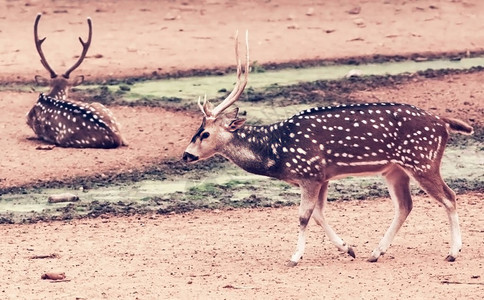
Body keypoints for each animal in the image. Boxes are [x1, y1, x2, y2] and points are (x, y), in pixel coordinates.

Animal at [182, 31, 472, 264]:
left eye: (204, 133)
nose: (186, 155)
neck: (277, 152)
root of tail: (443, 123)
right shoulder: (322, 177)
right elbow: (319, 214)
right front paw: (349, 249)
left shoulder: (309, 173)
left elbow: (303, 216)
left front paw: (295, 257)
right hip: (394, 169)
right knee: (405, 205)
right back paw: (375, 253)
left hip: (423, 160)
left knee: (449, 197)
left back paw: (452, 252)